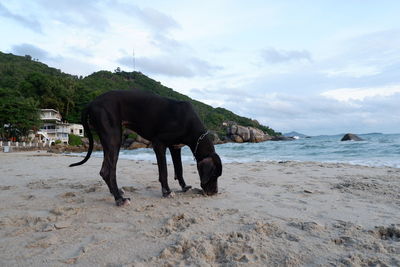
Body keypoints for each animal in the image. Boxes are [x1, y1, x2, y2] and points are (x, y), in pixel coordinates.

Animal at [70, 90, 223, 207]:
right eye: (213, 174)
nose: (214, 193)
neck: (191, 124)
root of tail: (92, 102)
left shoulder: (175, 147)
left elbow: (179, 169)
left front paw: (184, 187)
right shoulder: (159, 143)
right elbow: (164, 171)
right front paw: (166, 192)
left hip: (108, 141)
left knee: (106, 170)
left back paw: (117, 192)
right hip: (114, 139)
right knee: (107, 171)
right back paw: (119, 199)